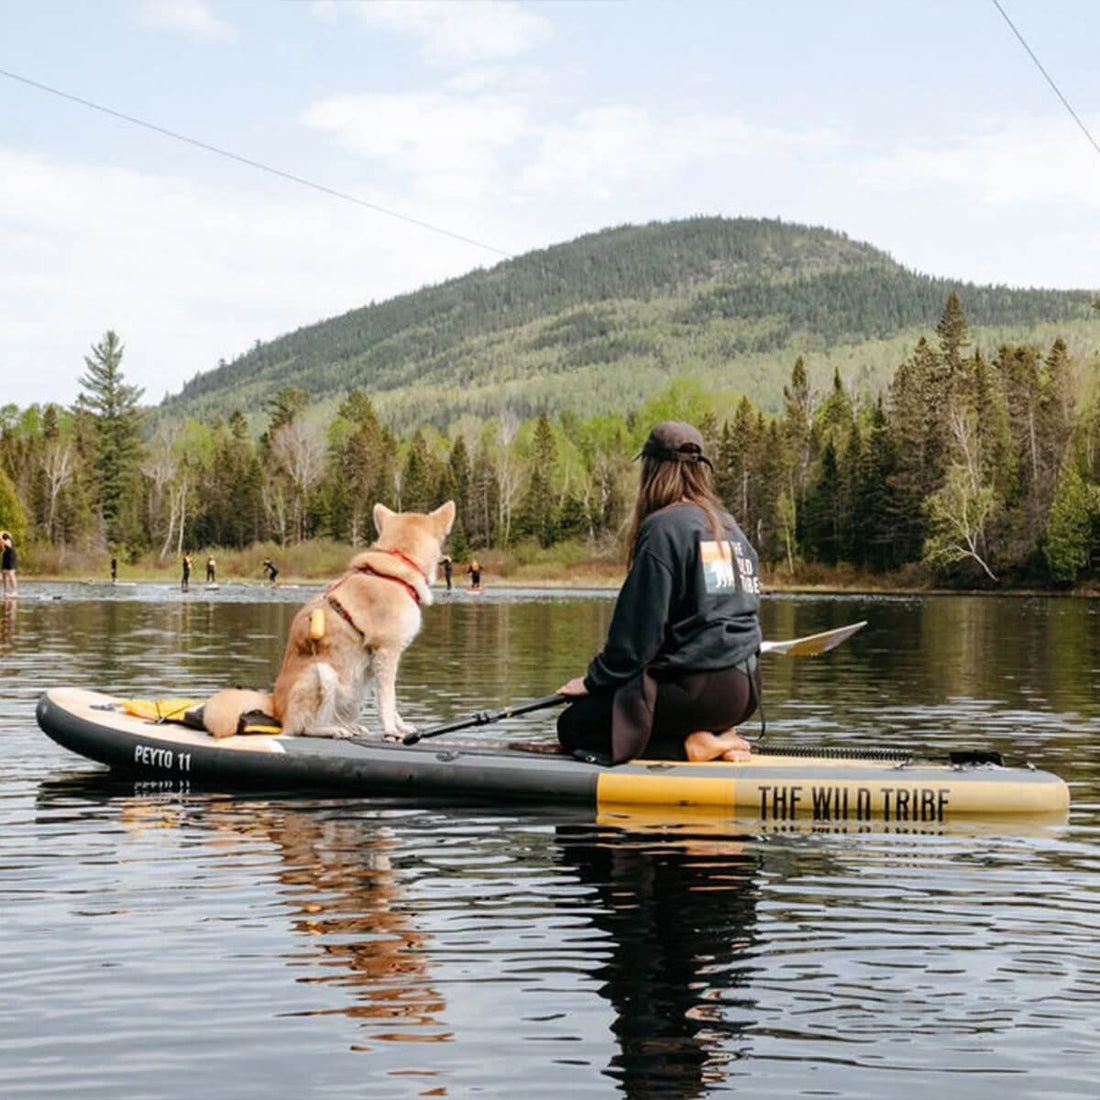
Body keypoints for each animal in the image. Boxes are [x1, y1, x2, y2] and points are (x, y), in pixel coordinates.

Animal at [201, 503, 451, 743]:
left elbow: (391, 702)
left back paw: (350, 727)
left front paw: (401, 727)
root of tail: (274, 703)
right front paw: (391, 732)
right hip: (321, 673)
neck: (393, 569)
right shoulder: (386, 652)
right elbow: (388, 701)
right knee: (302, 728)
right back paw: (333, 730)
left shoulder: (375, 662)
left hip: (355, 689)